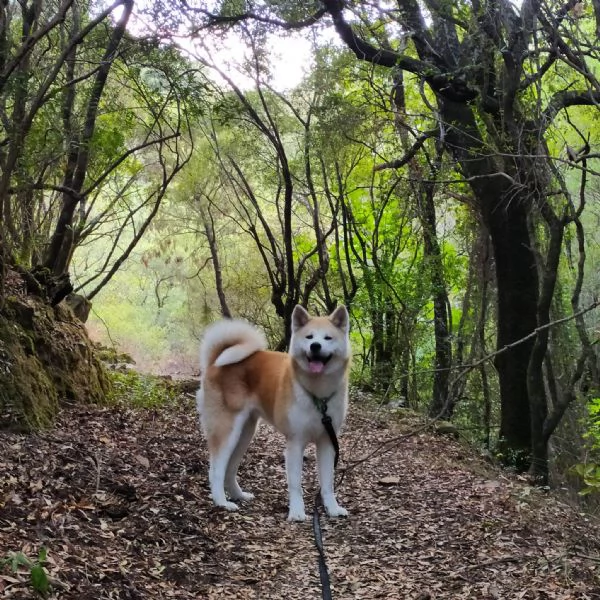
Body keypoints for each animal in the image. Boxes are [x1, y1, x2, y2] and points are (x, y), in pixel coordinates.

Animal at [196, 304, 352, 520]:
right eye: (309, 337)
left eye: (328, 338)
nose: (315, 346)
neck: (318, 395)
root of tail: (215, 361)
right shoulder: (295, 442)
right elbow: (295, 484)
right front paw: (297, 512)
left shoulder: (327, 442)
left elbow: (328, 483)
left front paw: (333, 508)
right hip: (227, 431)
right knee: (216, 470)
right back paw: (222, 503)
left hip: (244, 434)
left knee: (230, 469)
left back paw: (238, 495)